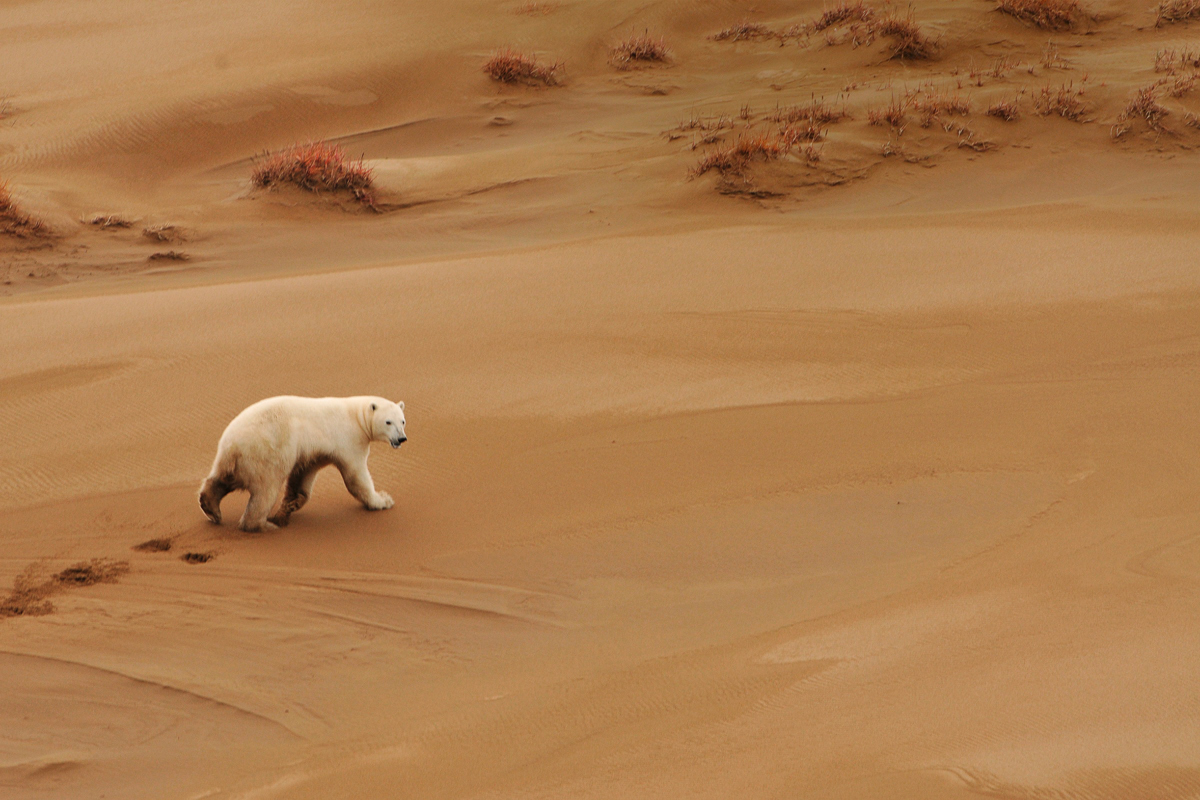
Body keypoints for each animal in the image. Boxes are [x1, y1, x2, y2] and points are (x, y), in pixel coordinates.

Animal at [194, 395, 405, 532]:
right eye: (388, 422)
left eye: (402, 421)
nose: (401, 438)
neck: (357, 416)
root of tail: (232, 446)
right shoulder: (349, 439)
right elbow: (357, 476)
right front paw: (383, 500)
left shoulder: (313, 452)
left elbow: (302, 477)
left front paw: (291, 504)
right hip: (265, 454)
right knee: (265, 490)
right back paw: (264, 525)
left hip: (231, 459)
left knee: (221, 479)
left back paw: (211, 508)